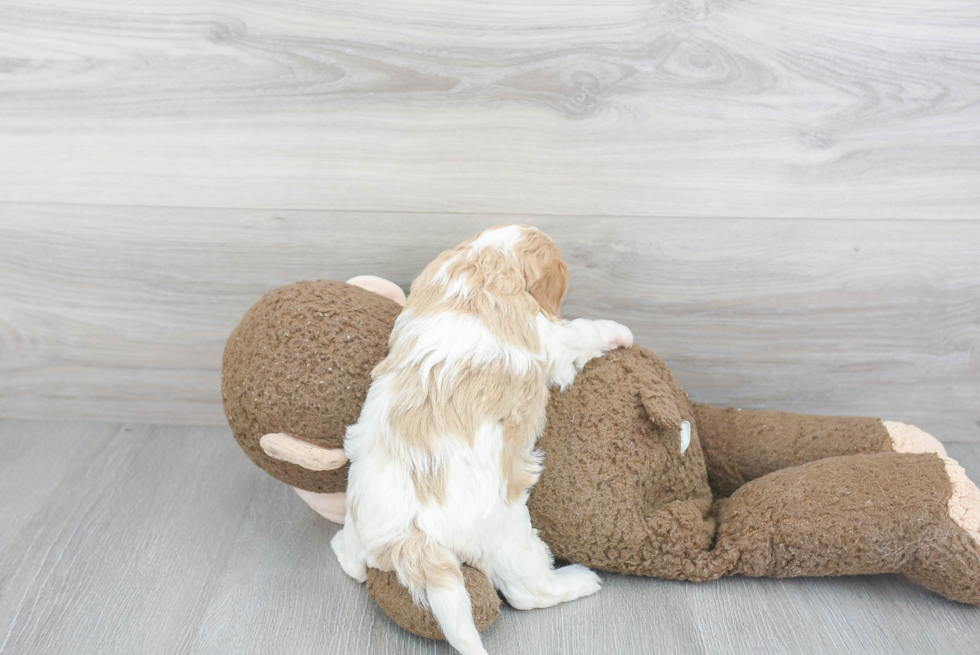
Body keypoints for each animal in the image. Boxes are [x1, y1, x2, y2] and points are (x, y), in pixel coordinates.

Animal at [334, 226, 632, 655]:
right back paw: (578, 580)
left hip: (363, 520)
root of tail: (412, 536)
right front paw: (617, 332)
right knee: (528, 592)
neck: (481, 264)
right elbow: (578, 331)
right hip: (511, 534)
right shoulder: (548, 338)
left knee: (351, 560)